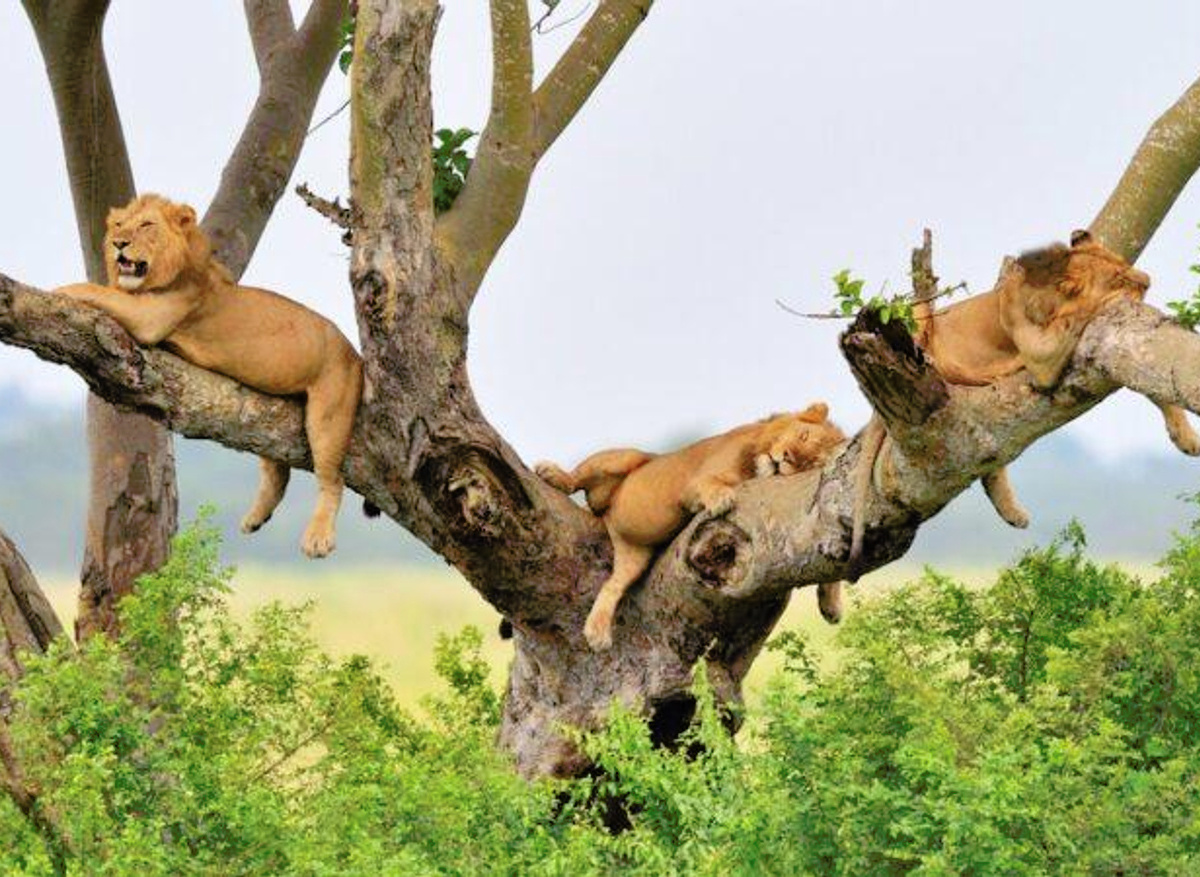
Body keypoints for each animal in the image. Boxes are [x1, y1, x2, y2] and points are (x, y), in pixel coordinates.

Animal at [54, 194, 363, 558]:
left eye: (146, 224)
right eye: (118, 225)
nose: (119, 243)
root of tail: (354, 353)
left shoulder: (151, 316)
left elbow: (99, 291)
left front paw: (59, 288)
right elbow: (105, 290)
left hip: (329, 412)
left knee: (331, 479)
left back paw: (318, 537)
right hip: (273, 414)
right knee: (277, 470)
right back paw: (256, 517)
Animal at [536, 403, 847, 650]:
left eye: (808, 462)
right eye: (803, 435)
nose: (785, 458)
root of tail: (607, 517)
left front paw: (831, 605)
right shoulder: (694, 483)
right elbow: (712, 484)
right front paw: (722, 499)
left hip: (635, 556)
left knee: (613, 585)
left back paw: (596, 632)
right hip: (625, 458)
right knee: (579, 476)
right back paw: (552, 474)